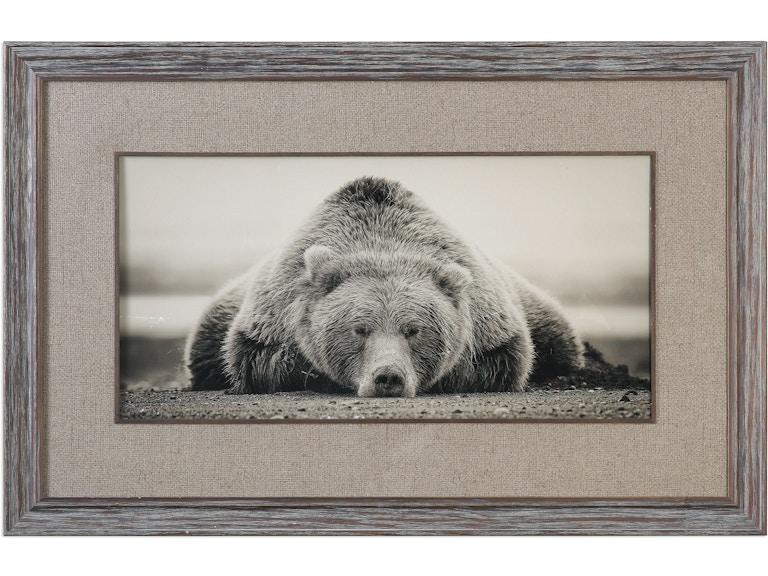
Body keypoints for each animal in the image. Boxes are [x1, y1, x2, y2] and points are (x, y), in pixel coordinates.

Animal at [184, 176, 583, 397]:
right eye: (360, 329)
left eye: (414, 330)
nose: (388, 377)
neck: (382, 241)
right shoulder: (271, 318)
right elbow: (259, 360)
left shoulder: (492, 325)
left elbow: (502, 361)